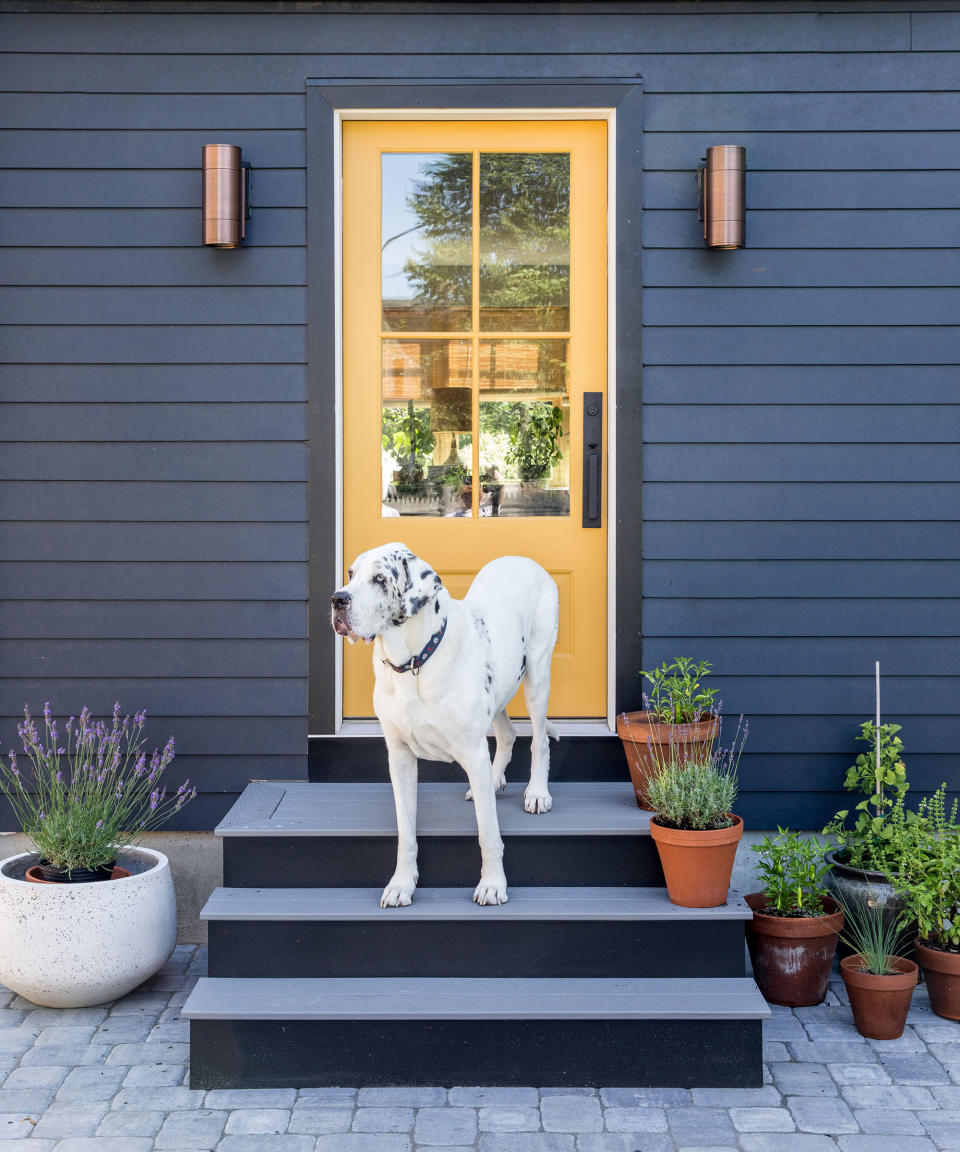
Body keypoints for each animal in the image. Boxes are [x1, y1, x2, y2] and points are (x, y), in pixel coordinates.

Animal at [329, 546, 557, 907]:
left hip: (538, 672)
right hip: (499, 686)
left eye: (380, 578)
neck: (412, 664)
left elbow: (488, 831)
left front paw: (493, 884)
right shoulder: (400, 758)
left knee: (539, 740)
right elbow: (406, 832)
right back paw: (493, 782)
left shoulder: (472, 753)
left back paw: (537, 793)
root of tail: (522, 559)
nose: (338, 599)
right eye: (350, 574)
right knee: (507, 734)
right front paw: (401, 883)